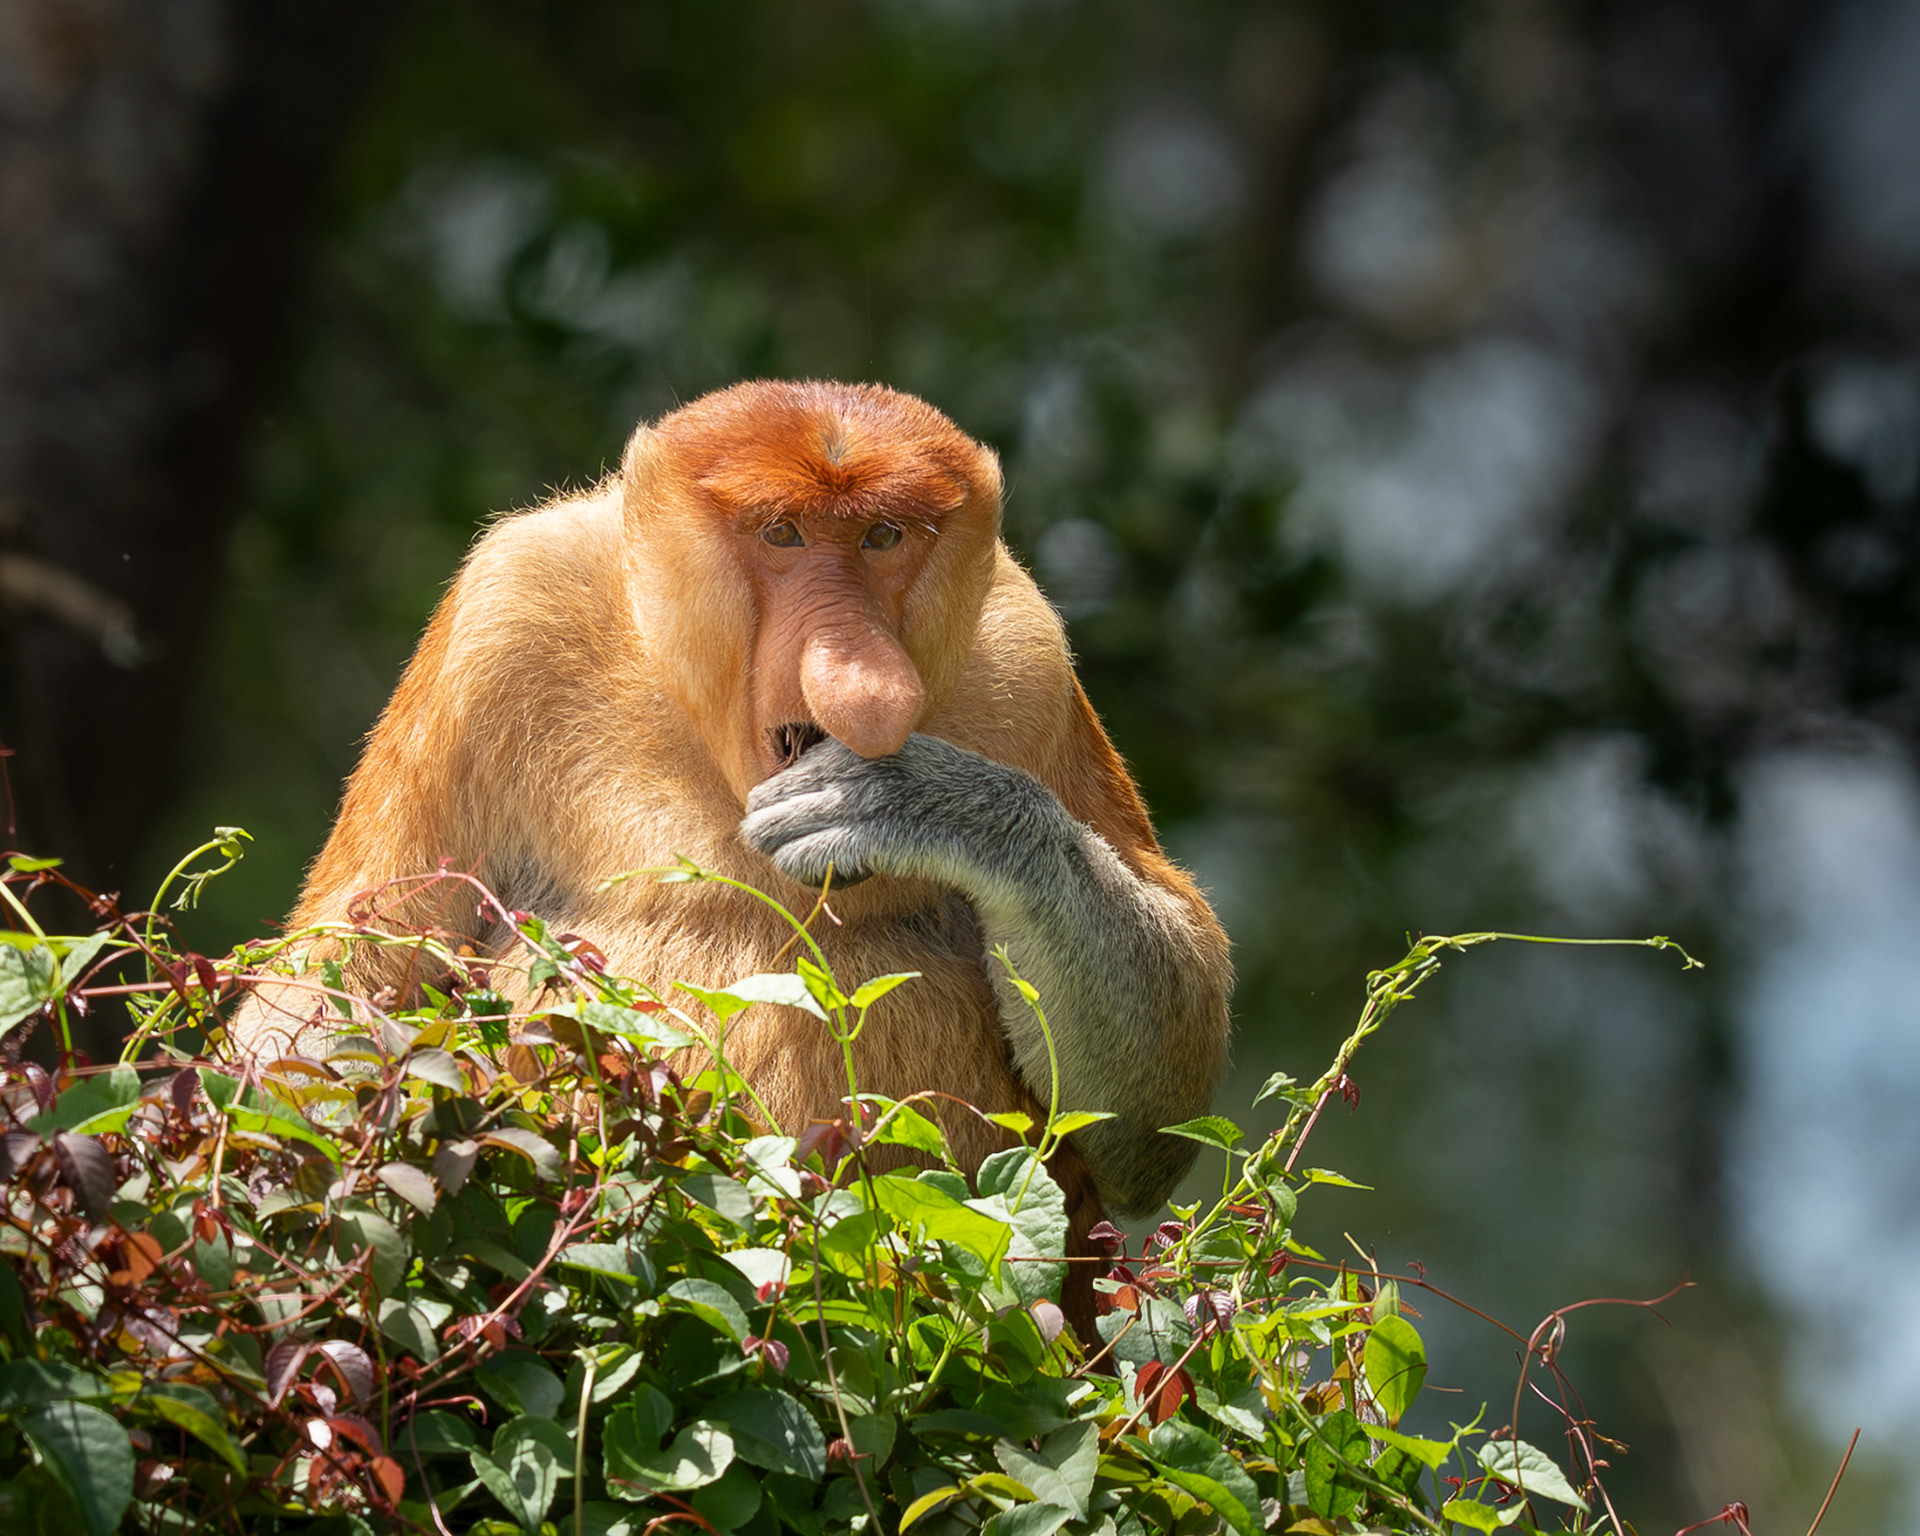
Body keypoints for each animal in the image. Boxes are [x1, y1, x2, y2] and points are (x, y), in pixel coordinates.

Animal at [236, 380, 1231, 1225]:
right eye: (783, 533)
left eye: (883, 537)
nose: (862, 681)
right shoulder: (504, 616)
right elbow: (340, 976)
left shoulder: (1031, 661)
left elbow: (1144, 1120)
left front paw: (928, 808)